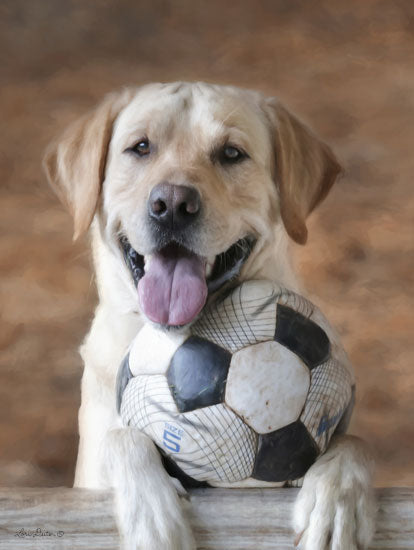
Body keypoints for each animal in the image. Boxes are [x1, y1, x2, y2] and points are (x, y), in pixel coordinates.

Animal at [43, 82, 376, 550]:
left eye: (232, 153)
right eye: (140, 147)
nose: (172, 204)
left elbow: (353, 442)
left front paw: (337, 501)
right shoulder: (91, 467)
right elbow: (121, 437)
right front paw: (153, 514)